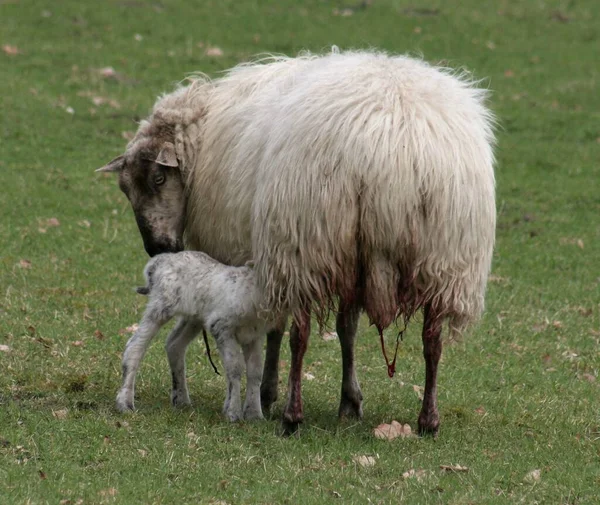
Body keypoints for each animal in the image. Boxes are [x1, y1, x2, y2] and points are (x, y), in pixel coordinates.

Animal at [96, 52, 494, 438]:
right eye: (125, 189)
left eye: (159, 178)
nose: (157, 249)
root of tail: (390, 155)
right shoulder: (343, 261)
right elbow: (346, 330)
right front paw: (349, 402)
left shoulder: (271, 254)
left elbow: (275, 329)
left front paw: (267, 394)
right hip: (445, 257)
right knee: (432, 341)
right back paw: (428, 420)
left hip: (304, 242)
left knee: (299, 337)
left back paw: (291, 416)